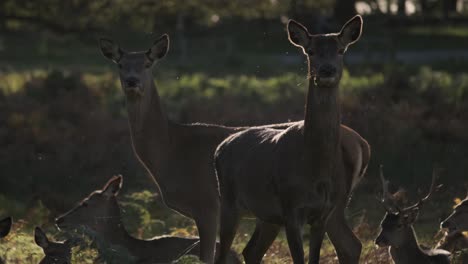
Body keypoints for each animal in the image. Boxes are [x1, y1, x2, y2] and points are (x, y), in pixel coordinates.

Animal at [213, 15, 370, 262]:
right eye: (310, 51)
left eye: (341, 50)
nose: (326, 70)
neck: (315, 170)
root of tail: (220, 147)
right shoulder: (291, 209)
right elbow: (298, 257)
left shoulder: (322, 214)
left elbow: (314, 258)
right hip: (228, 201)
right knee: (222, 251)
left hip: (267, 215)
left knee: (251, 250)